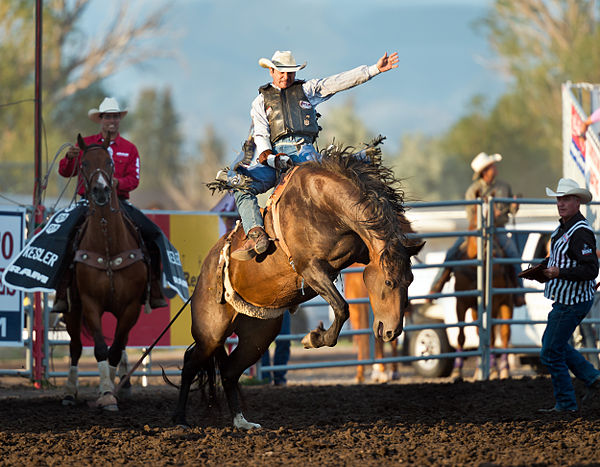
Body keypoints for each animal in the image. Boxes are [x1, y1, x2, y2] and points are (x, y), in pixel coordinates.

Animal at [61, 134, 148, 410]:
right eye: (83, 163)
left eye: (110, 162)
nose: (101, 190)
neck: (108, 245)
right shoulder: (90, 304)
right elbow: (99, 348)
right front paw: (106, 391)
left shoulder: (131, 307)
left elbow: (116, 348)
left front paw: (109, 392)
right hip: (71, 310)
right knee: (75, 348)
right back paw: (69, 392)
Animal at [173, 148, 424, 430]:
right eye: (389, 282)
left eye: (410, 280)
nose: (392, 331)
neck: (324, 205)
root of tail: (207, 269)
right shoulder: (310, 268)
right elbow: (342, 307)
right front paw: (313, 338)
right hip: (211, 333)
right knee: (190, 363)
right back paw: (180, 419)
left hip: (257, 336)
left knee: (228, 372)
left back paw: (241, 422)